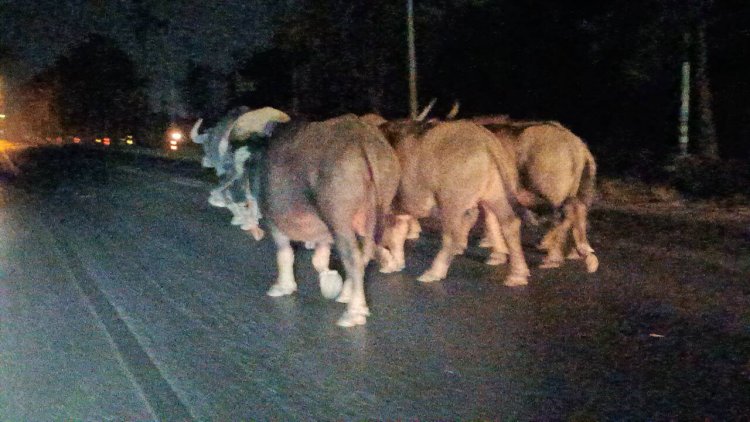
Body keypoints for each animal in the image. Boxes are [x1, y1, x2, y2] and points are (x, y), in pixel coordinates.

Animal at [378, 117, 532, 286]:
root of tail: (486, 138)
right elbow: (398, 229)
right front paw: (395, 264)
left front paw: (388, 262)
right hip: (494, 187)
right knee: (509, 221)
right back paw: (517, 276)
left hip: (452, 193)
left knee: (452, 233)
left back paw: (433, 273)